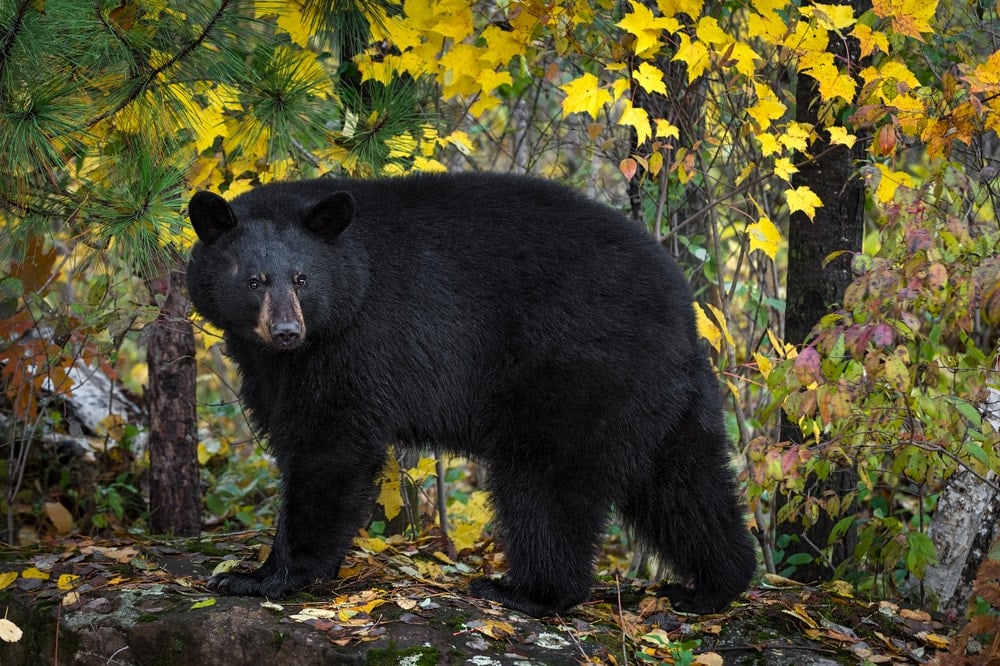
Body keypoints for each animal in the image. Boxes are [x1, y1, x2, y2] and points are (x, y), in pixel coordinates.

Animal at [186, 172, 756, 618]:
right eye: (255, 280)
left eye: (302, 279)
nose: (286, 331)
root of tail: (683, 307)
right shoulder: (273, 363)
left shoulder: (357, 344)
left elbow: (328, 449)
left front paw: (261, 577)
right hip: (663, 395)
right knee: (684, 481)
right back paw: (712, 587)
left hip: (576, 371)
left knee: (543, 483)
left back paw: (529, 592)